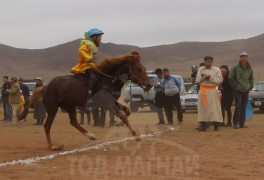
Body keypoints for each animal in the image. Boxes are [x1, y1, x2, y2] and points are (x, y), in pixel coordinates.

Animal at [18, 50, 153, 150]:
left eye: (144, 68)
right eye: (139, 69)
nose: (150, 84)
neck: (108, 80)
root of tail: (45, 87)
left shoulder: (113, 102)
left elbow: (127, 111)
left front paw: (119, 124)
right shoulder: (108, 103)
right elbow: (123, 115)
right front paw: (135, 134)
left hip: (69, 106)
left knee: (73, 122)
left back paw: (90, 135)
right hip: (53, 108)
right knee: (47, 126)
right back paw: (52, 146)